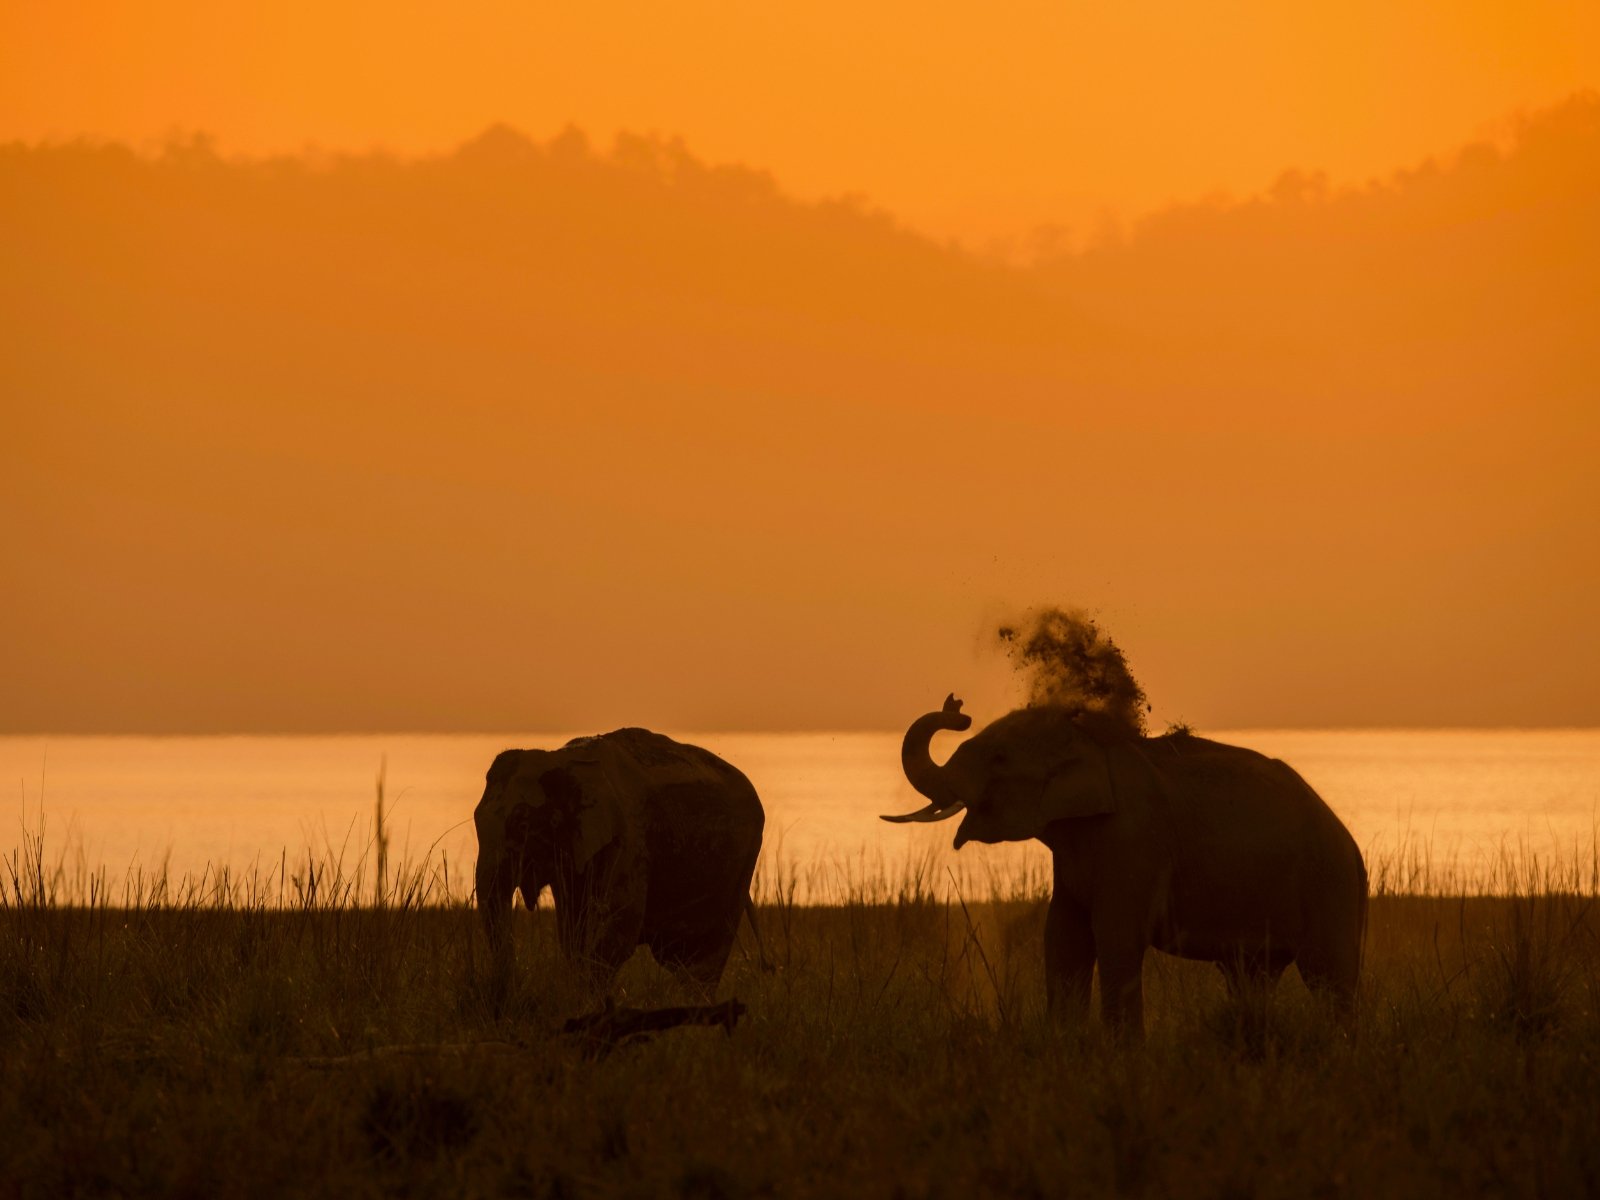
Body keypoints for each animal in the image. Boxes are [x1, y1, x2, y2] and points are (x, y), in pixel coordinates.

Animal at [475, 728, 765, 994]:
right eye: (476, 820)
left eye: (522, 825)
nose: (513, 984)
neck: (560, 759)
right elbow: (573, 931)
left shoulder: (630, 838)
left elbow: (618, 927)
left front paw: (590, 1002)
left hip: (742, 865)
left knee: (704, 958)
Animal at [883, 695, 1366, 1035]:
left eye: (999, 757)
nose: (957, 709)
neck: (1086, 743)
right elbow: (1064, 935)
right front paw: (1066, 1044)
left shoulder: (1133, 839)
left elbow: (1115, 935)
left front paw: (1122, 1056)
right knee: (1251, 976)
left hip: (1332, 885)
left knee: (1329, 976)